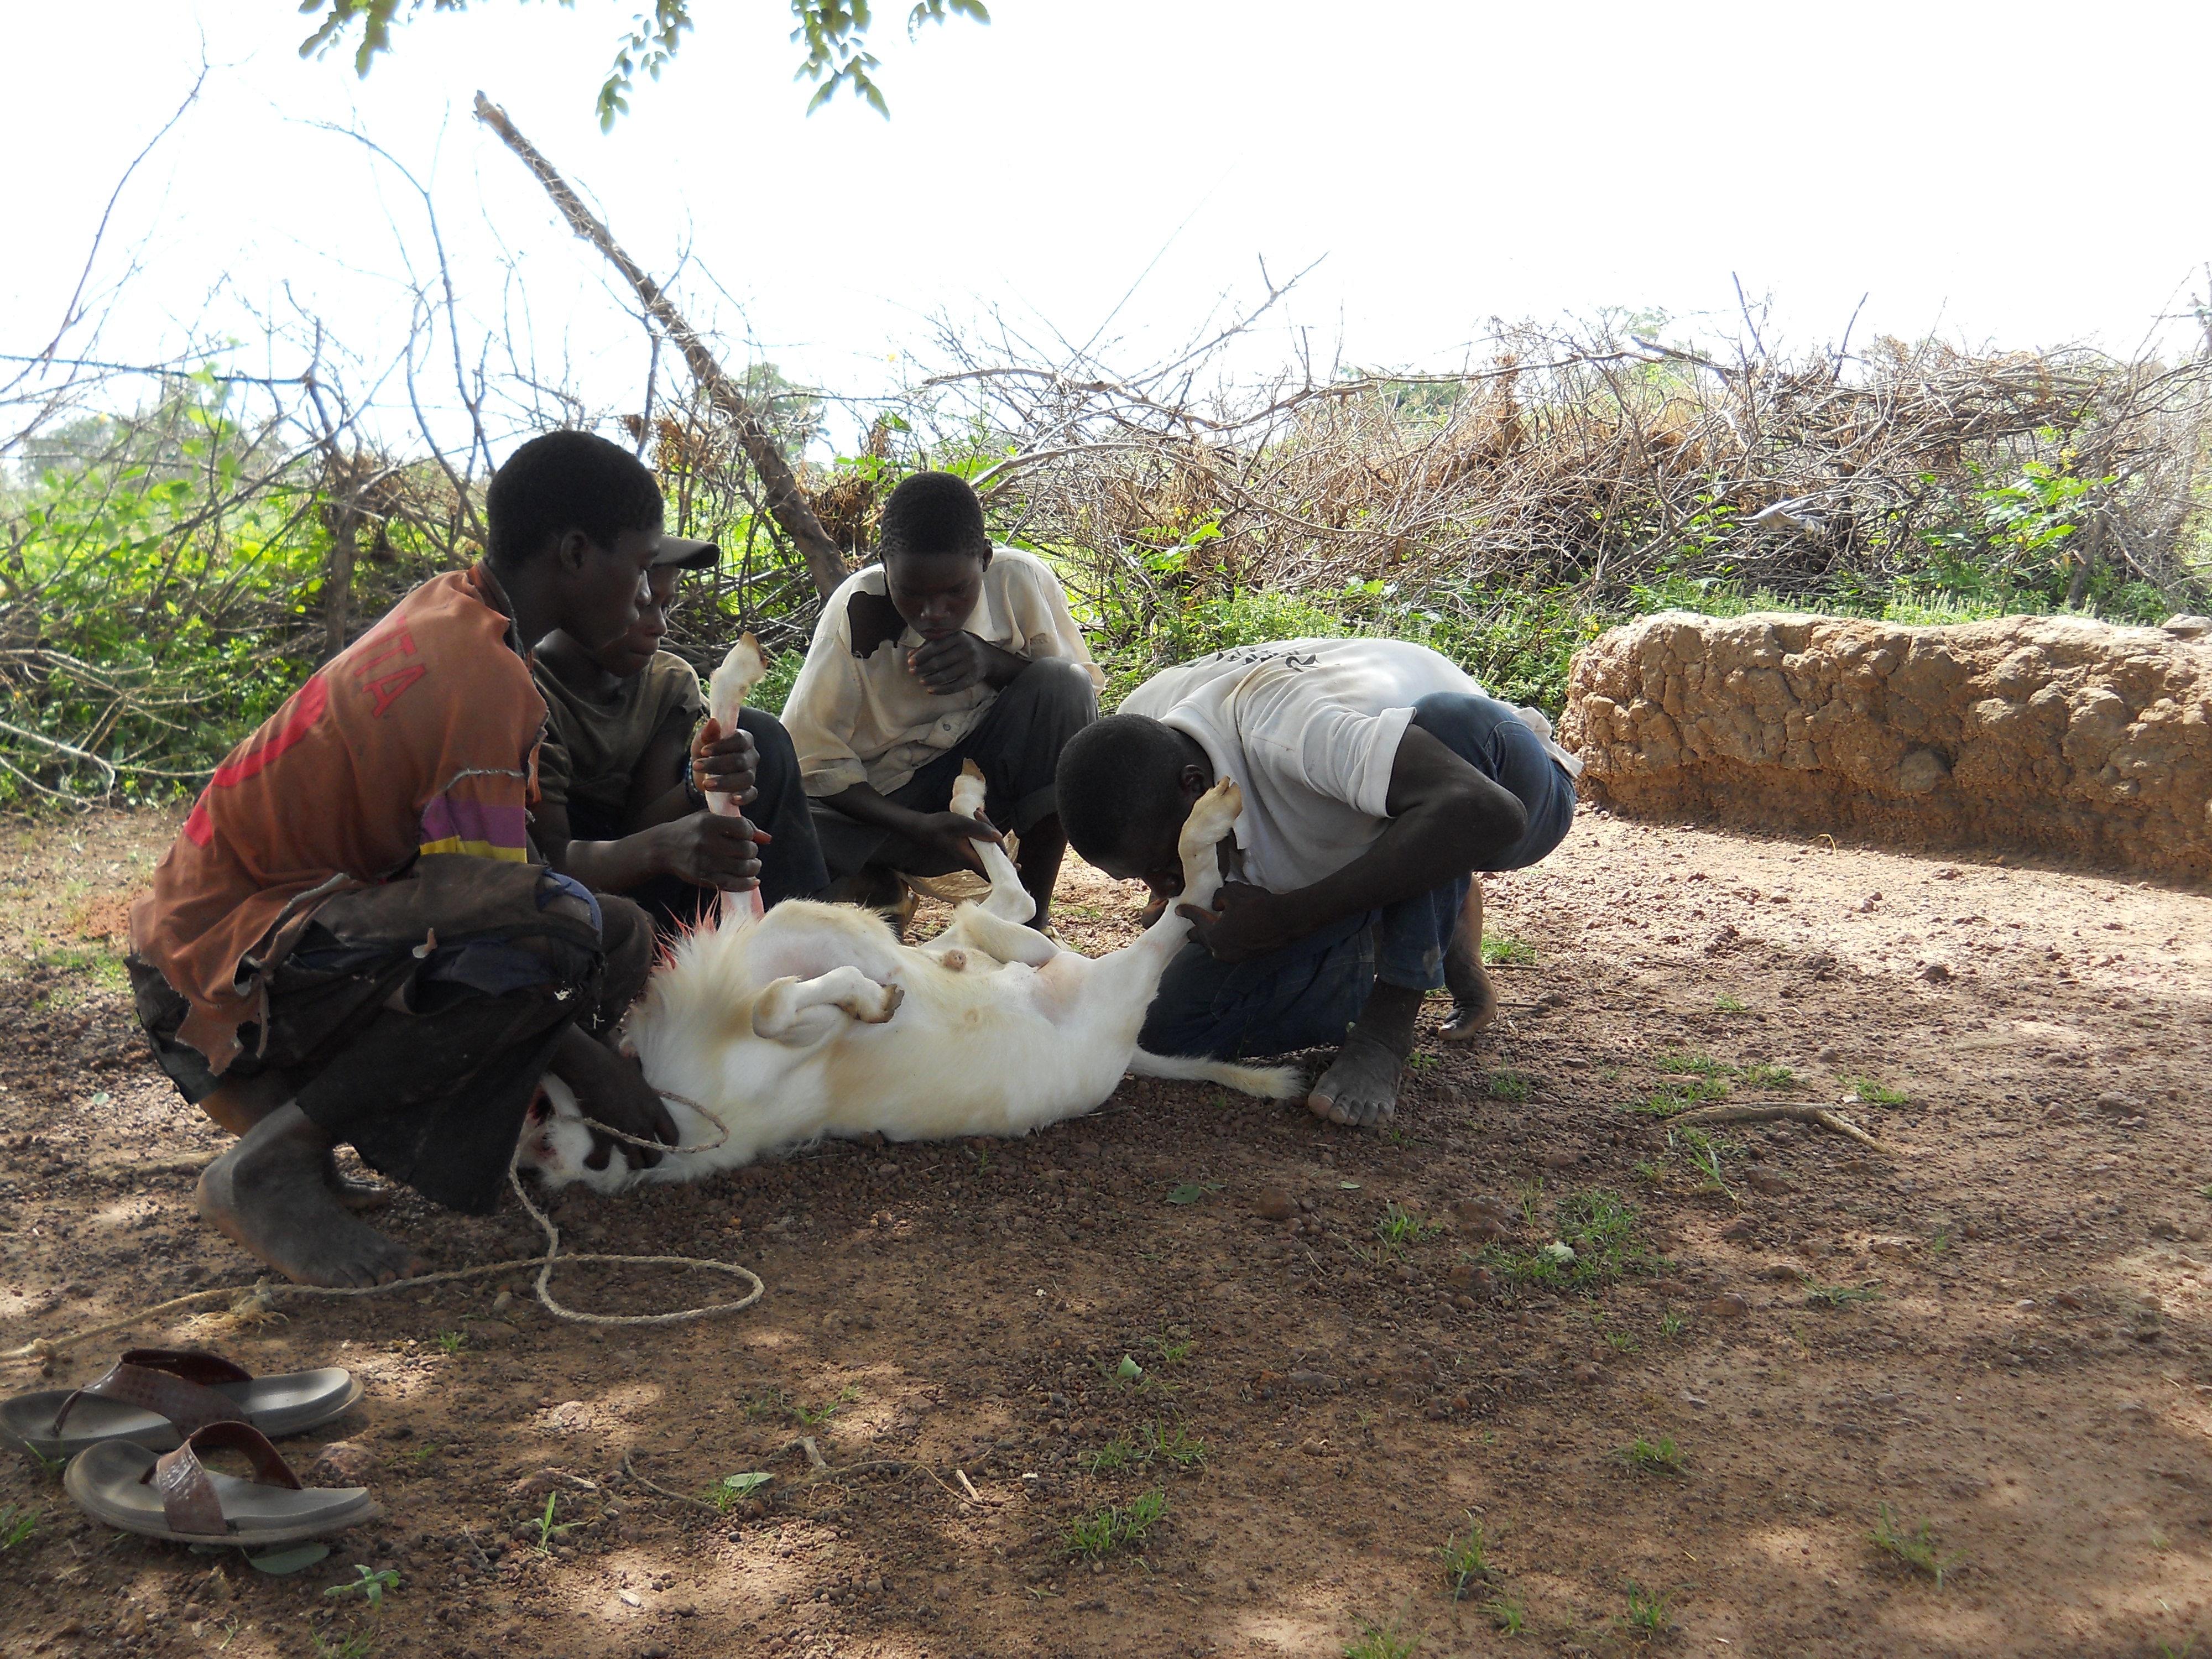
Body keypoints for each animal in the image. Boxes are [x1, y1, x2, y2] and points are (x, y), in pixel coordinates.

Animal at [518, 761, 1292, 1186]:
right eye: (540, 1119)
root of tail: (1127, 1052)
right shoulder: (782, 1034)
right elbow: (777, 1004)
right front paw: (874, 999)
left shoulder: (746, 922)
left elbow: (739, 859)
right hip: (1119, 985)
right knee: (1185, 902)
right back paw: (1208, 815)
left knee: (1009, 907)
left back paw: (967, 806)